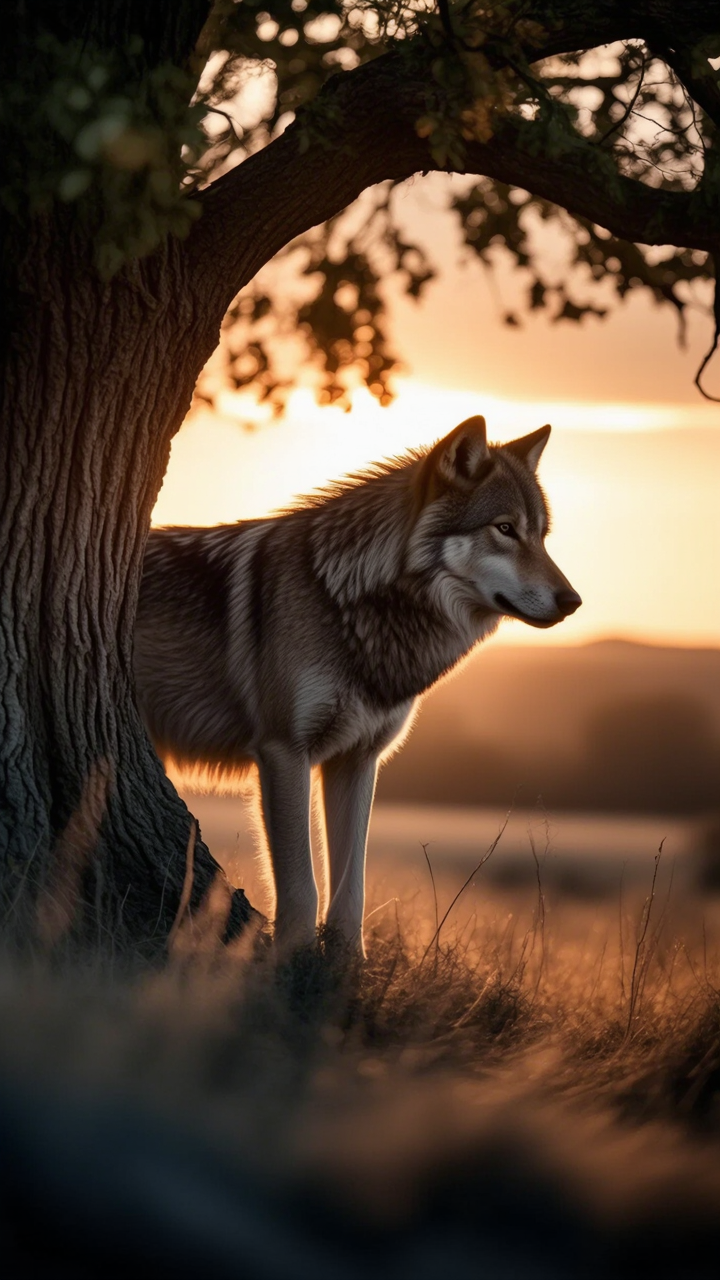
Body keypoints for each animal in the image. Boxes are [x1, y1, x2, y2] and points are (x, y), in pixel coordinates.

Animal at [134, 415, 581, 956]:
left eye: (542, 536)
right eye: (505, 529)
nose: (573, 600)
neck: (345, 602)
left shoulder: (358, 760)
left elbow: (351, 888)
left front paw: (346, 966)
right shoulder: (284, 753)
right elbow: (301, 885)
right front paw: (294, 962)